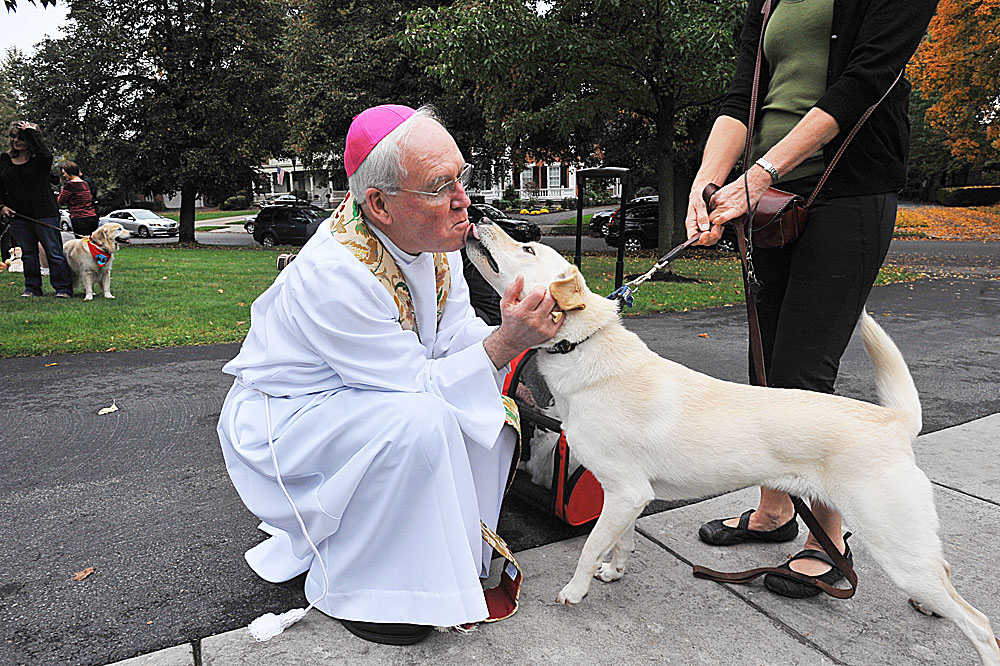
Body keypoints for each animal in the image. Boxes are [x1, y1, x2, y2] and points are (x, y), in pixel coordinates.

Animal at [466, 220, 1000, 660]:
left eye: (528, 248)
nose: (481, 215)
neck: (581, 344)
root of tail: (893, 422)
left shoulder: (625, 493)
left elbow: (591, 546)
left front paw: (575, 591)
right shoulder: (628, 497)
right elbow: (620, 542)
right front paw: (614, 572)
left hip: (894, 542)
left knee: (979, 623)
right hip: (910, 544)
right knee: (945, 575)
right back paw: (929, 608)